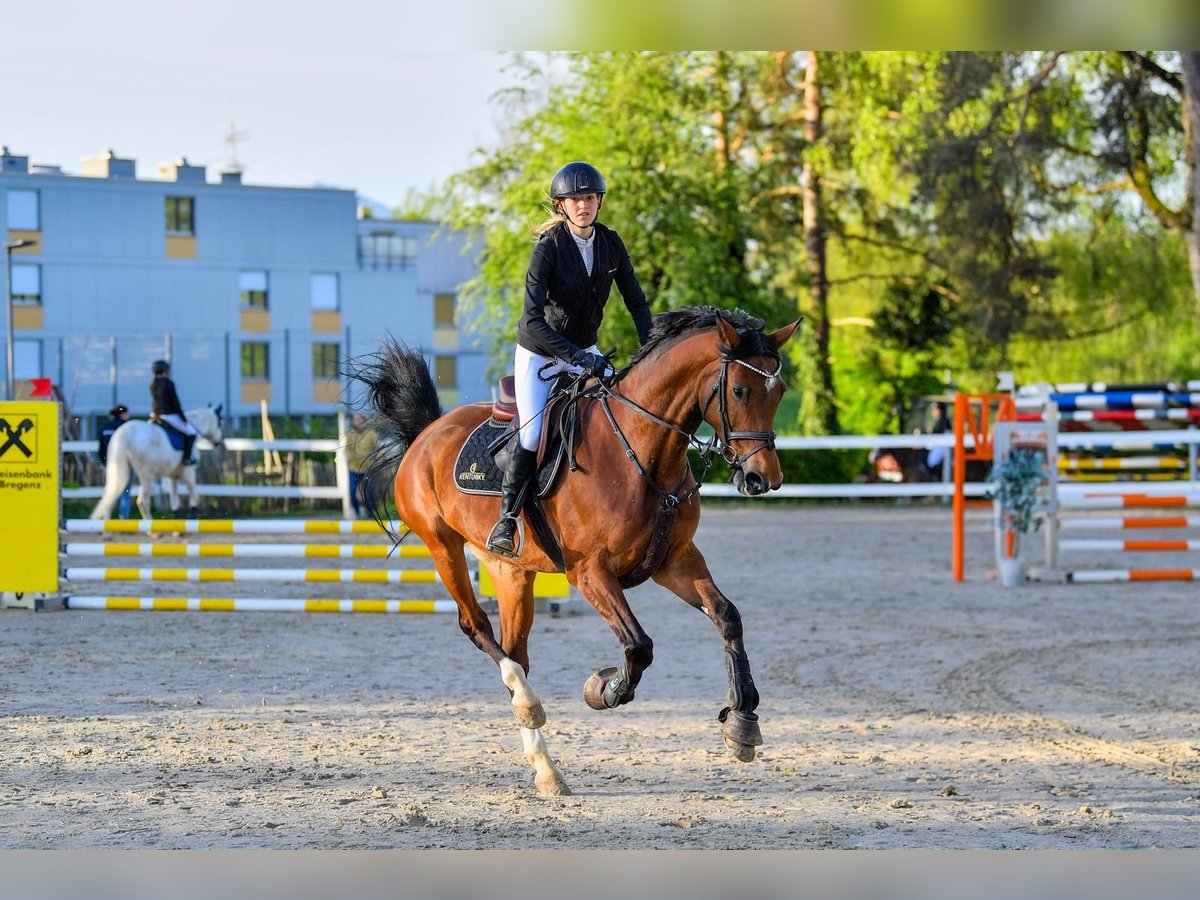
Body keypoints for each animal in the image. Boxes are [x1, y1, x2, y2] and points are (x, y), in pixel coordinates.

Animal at [90, 408, 224, 520]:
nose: (219, 443)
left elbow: (175, 503)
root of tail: (125, 433)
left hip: (119, 471)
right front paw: (191, 519)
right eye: (220, 422)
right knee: (142, 500)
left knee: (110, 495)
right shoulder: (188, 474)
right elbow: (194, 498)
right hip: (146, 474)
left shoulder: (172, 477)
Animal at [360, 309, 801, 796]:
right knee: (477, 627)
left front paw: (742, 722)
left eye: (779, 390)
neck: (641, 447)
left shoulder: (675, 560)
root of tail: (427, 432)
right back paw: (528, 704)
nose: (762, 479)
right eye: (739, 390)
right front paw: (604, 689)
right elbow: (638, 646)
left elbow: (727, 617)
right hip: (443, 547)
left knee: (515, 649)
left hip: (510, 570)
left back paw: (546, 768)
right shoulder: (589, 572)